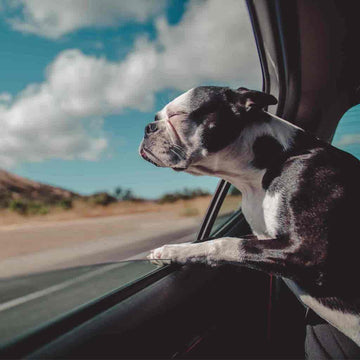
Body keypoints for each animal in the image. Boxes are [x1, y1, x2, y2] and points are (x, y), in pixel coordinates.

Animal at [139, 86, 360, 344]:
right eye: (157, 117)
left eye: (178, 115)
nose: (148, 127)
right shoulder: (263, 238)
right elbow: (209, 241)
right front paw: (172, 251)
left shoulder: (306, 252)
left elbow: (224, 243)